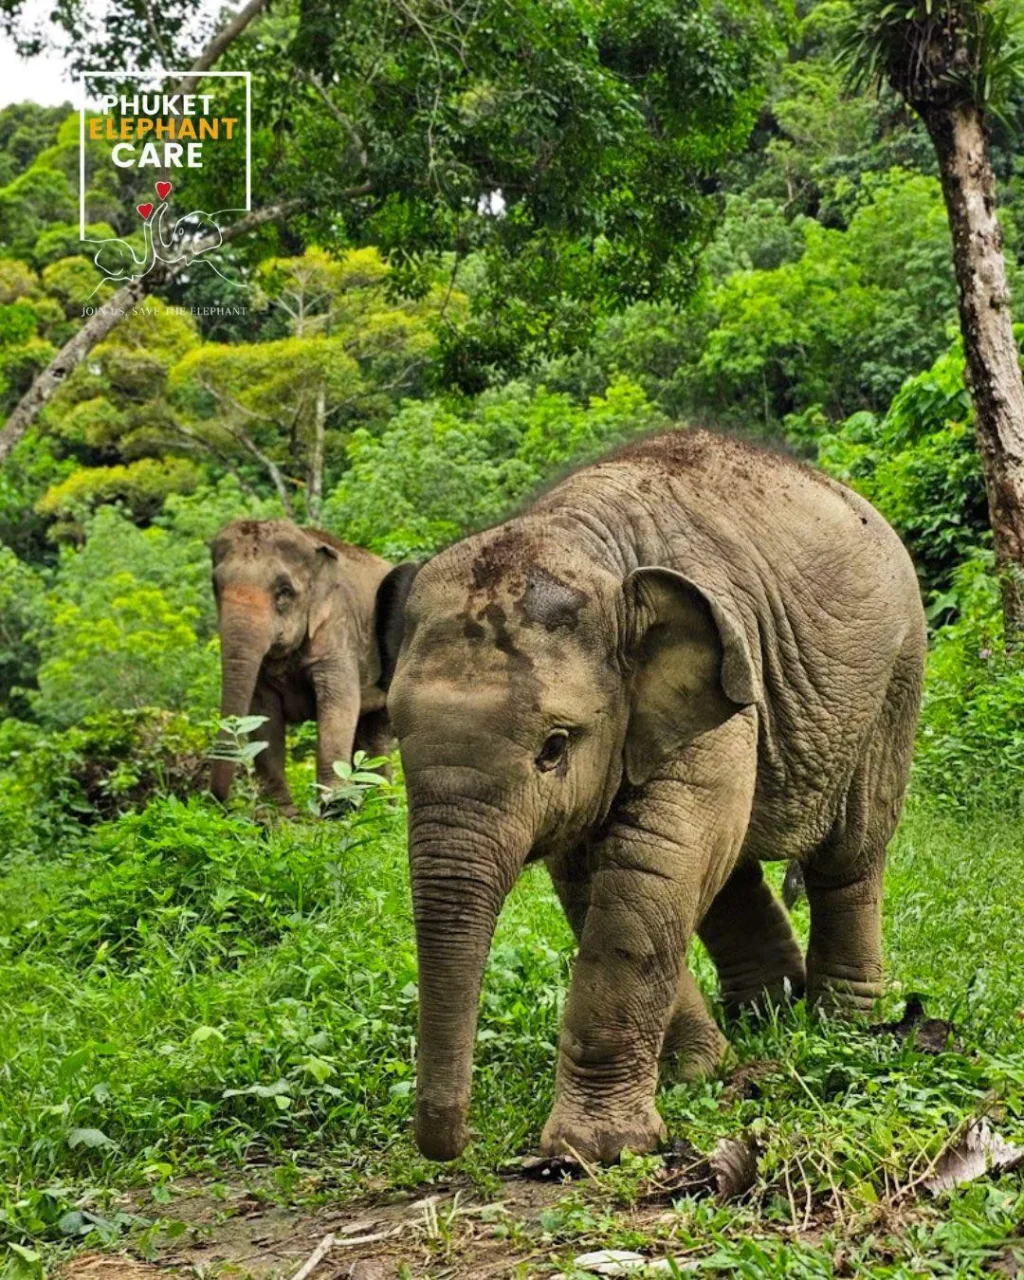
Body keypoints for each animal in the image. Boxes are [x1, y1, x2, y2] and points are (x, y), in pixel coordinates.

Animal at [209, 519, 394, 814]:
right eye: (215, 587)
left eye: (284, 592)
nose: (220, 802)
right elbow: (263, 714)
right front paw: (282, 817)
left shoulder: (338, 629)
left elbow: (340, 702)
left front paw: (335, 809)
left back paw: (382, 809)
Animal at [374, 427, 926, 1165]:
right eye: (398, 739)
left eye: (554, 746)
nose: (456, 1142)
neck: (583, 543)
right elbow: (599, 882)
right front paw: (699, 1069)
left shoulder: (724, 691)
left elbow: (647, 870)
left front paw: (597, 1150)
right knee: (728, 868)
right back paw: (765, 1014)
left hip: (895, 675)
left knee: (850, 851)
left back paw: (840, 1026)